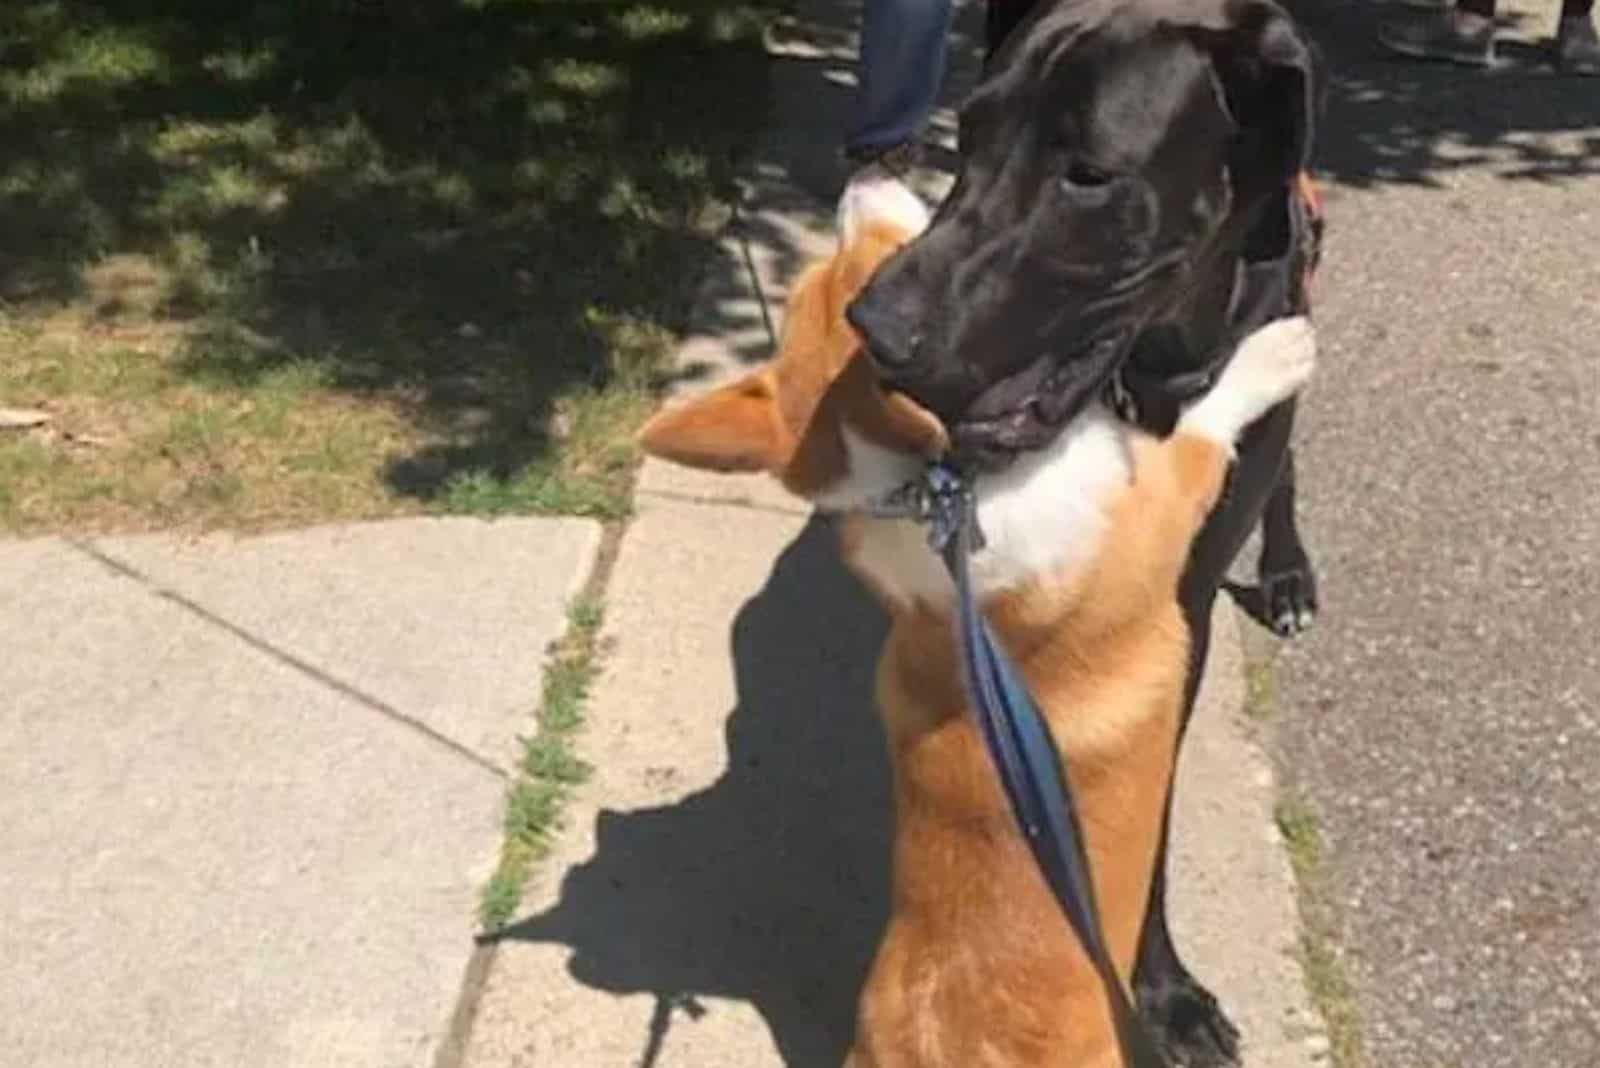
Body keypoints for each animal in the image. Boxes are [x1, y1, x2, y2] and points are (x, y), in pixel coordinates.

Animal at [633, 185, 1312, 1068]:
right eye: (881, 266)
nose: (861, 178)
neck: (937, 493)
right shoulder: (1159, 499)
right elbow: (1204, 422)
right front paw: (1273, 352)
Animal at [851, 4, 1324, 1061]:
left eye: (1090, 176)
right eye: (971, 134)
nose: (876, 328)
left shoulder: (1180, 605)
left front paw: (1162, 990)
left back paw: (1287, 572)